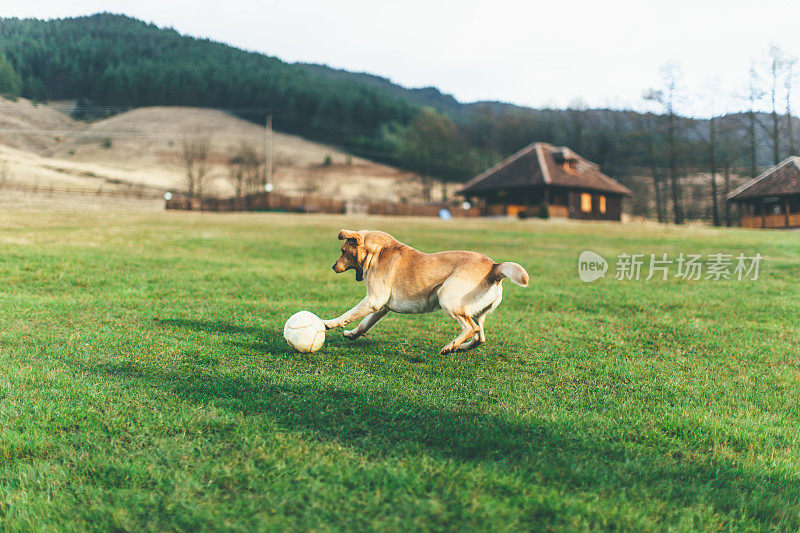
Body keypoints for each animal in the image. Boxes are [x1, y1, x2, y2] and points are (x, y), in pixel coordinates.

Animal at [322, 229, 528, 354]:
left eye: (342, 251)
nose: (332, 267)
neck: (379, 251)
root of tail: (494, 266)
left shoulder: (374, 300)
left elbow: (347, 314)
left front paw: (328, 323)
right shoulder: (381, 307)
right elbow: (364, 325)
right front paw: (351, 334)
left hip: (447, 298)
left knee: (472, 328)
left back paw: (449, 347)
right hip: (477, 312)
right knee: (480, 336)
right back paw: (460, 347)